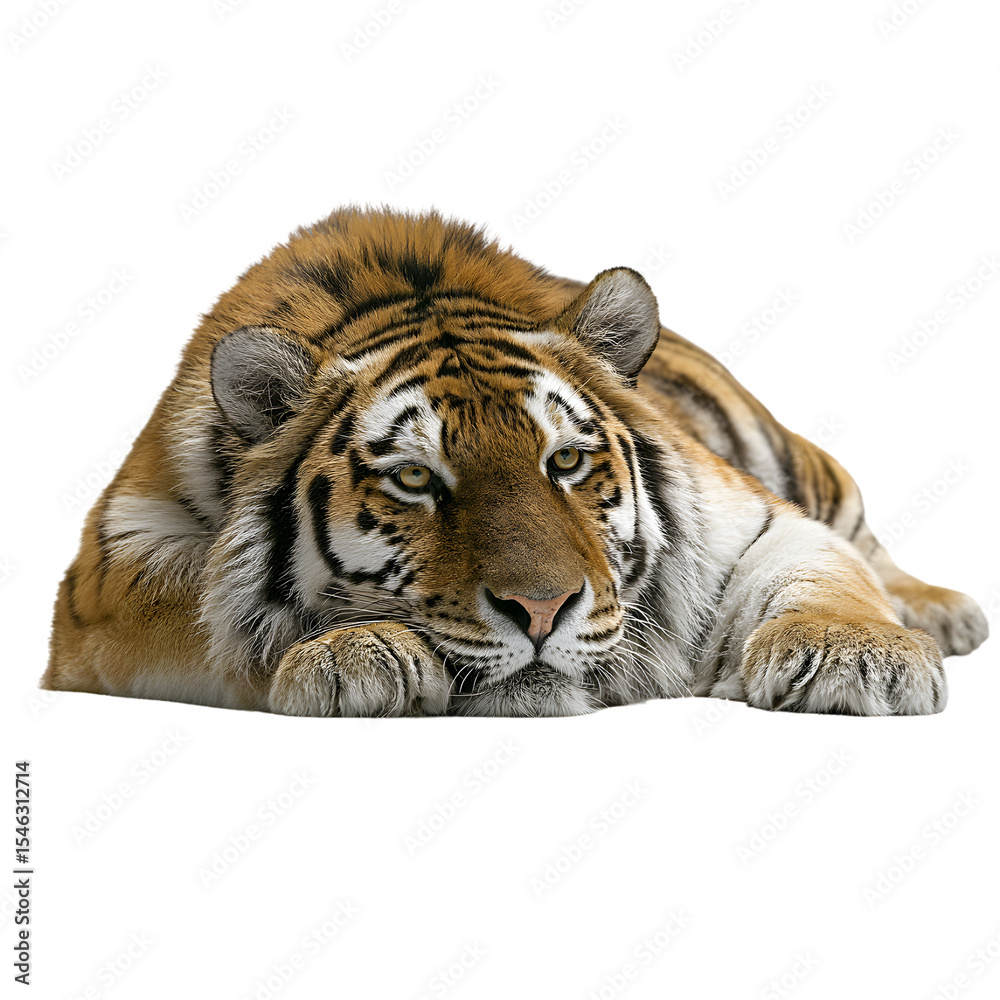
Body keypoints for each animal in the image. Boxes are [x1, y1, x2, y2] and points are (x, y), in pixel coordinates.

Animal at [42, 206, 988, 717]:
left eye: (565, 462)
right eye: (414, 479)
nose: (541, 610)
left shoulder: (753, 518)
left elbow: (823, 573)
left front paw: (856, 658)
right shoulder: (105, 576)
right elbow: (210, 611)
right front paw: (351, 653)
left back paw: (944, 614)